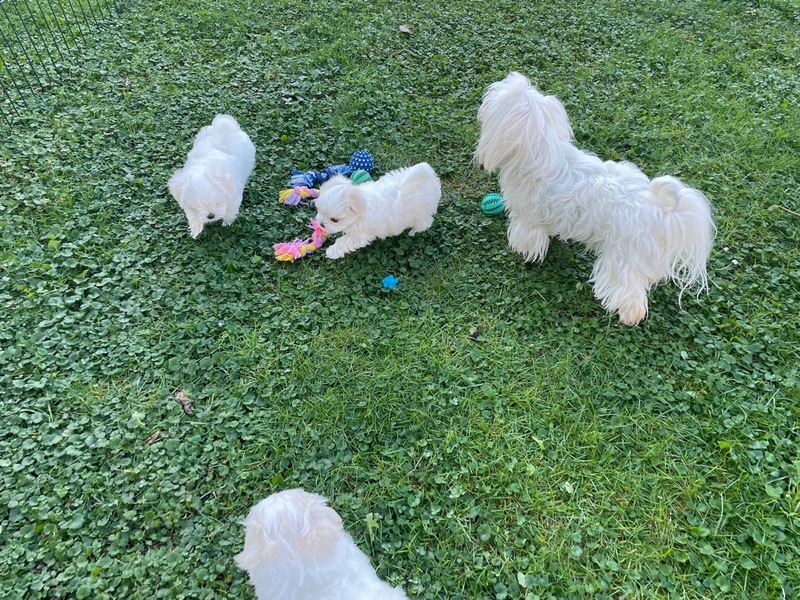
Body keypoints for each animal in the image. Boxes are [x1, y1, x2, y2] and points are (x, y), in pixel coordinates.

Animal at [476, 72, 714, 325]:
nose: (483, 103)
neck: (543, 154)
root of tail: (660, 210)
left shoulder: (527, 217)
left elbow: (527, 238)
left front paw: (522, 251)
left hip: (622, 259)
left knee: (629, 290)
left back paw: (629, 316)